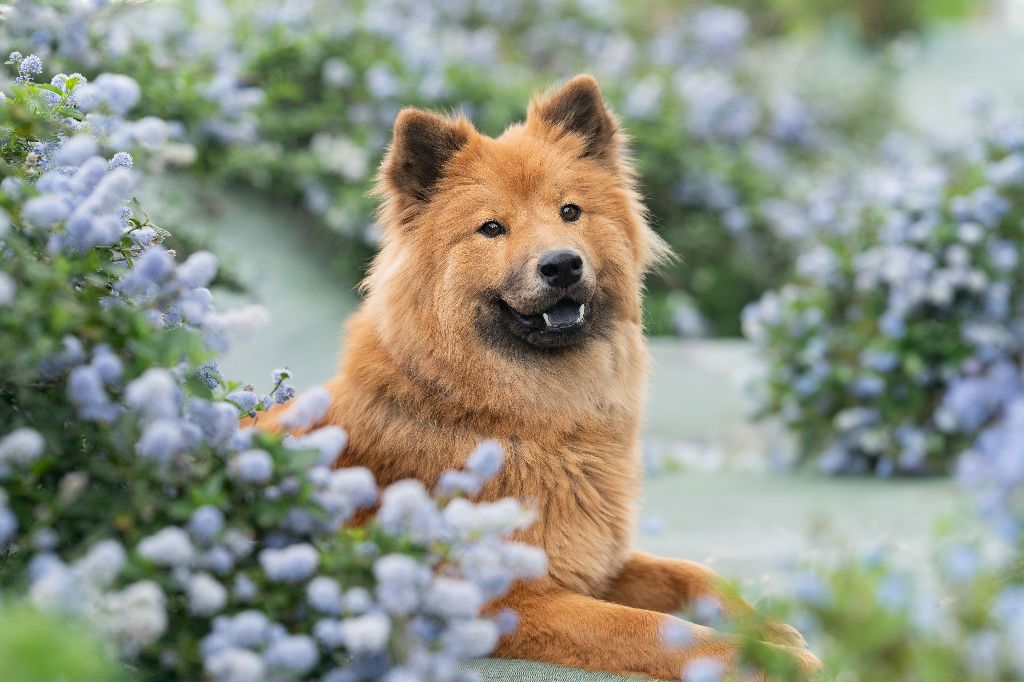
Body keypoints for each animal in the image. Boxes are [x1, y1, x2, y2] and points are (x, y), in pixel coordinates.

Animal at [260, 73, 819, 675]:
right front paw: (775, 661)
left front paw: (769, 629)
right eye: (491, 228)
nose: (562, 264)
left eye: (570, 212)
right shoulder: (510, 598)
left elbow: (694, 574)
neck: (531, 418)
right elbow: (657, 629)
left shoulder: (595, 556)